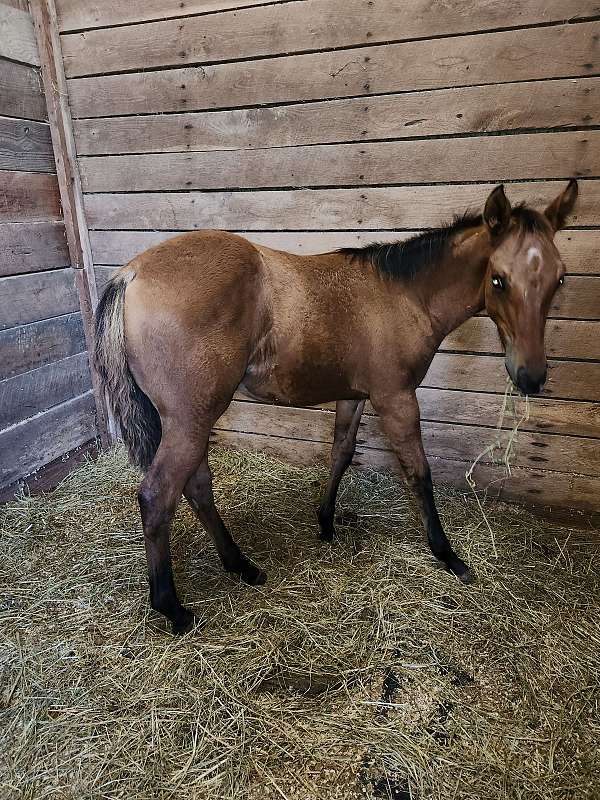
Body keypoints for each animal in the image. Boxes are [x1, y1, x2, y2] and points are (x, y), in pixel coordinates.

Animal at [96, 181, 580, 632]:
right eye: (499, 279)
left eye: (559, 279)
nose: (530, 376)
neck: (402, 295)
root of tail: (131, 275)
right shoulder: (395, 396)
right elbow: (418, 472)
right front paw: (447, 555)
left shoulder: (355, 395)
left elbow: (341, 454)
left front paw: (326, 524)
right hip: (190, 419)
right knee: (158, 496)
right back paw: (173, 608)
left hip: (189, 420)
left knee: (196, 487)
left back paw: (241, 566)